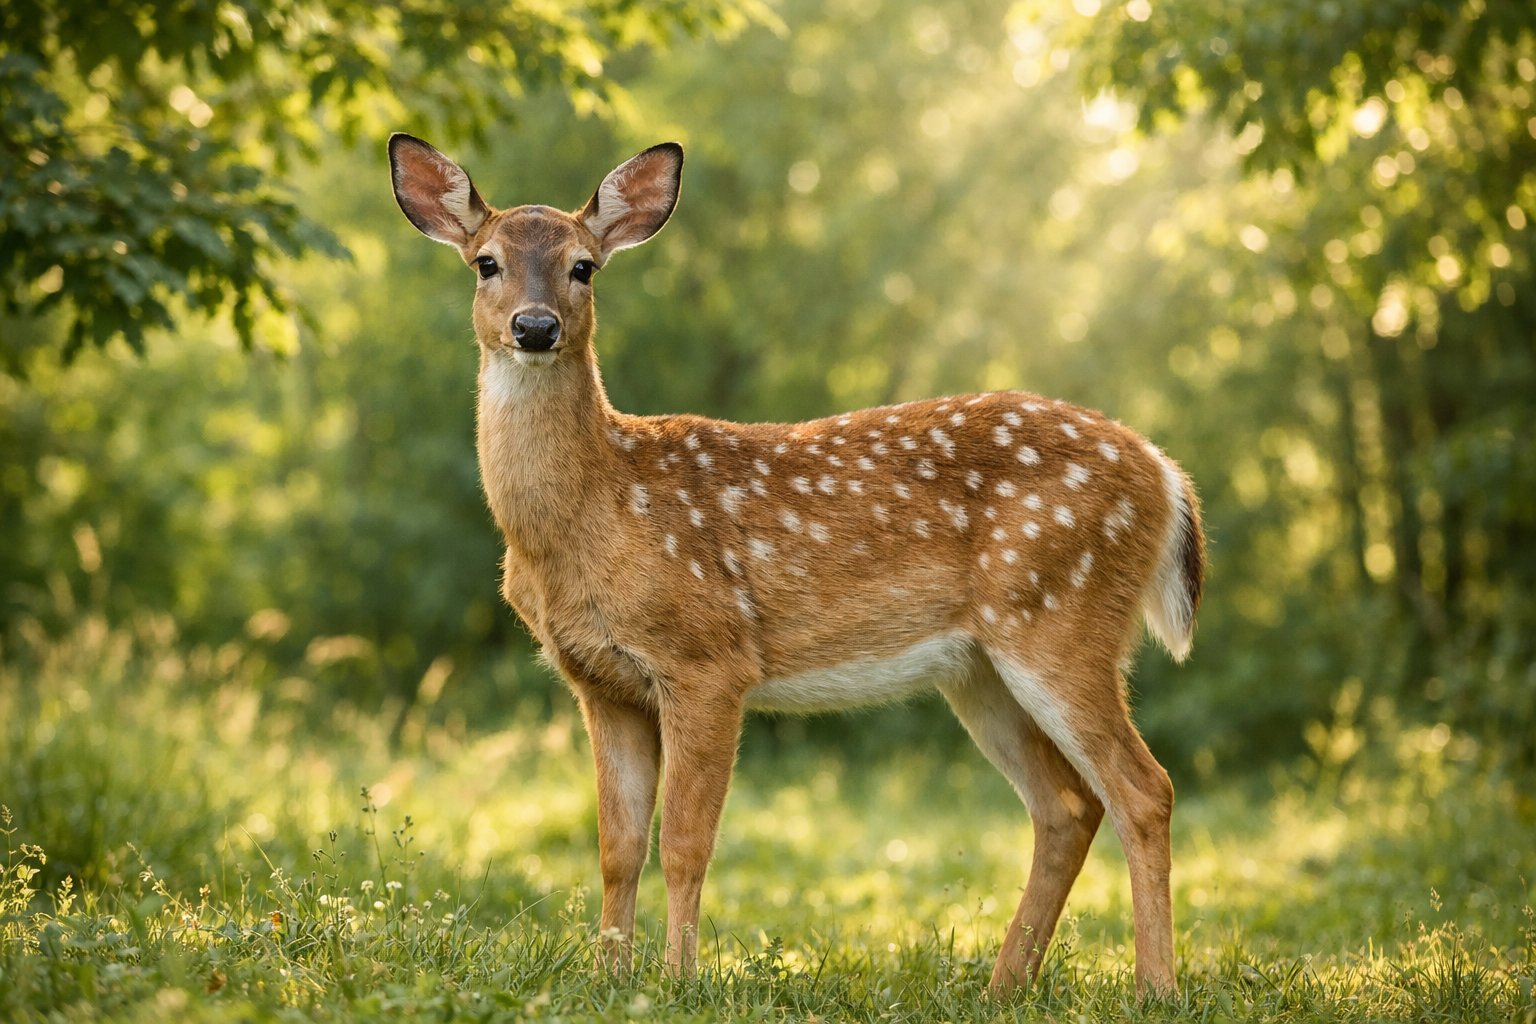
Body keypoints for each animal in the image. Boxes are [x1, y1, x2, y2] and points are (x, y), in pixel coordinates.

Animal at [387, 133, 1205, 997]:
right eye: (486, 262)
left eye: (584, 266)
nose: (535, 326)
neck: (593, 516)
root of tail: (1165, 474)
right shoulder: (601, 683)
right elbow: (618, 848)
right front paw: (612, 978)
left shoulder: (708, 658)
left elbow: (685, 842)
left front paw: (678, 981)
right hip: (980, 668)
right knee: (1067, 805)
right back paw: (1001, 987)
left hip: (1064, 618)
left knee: (1143, 789)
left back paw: (1154, 988)